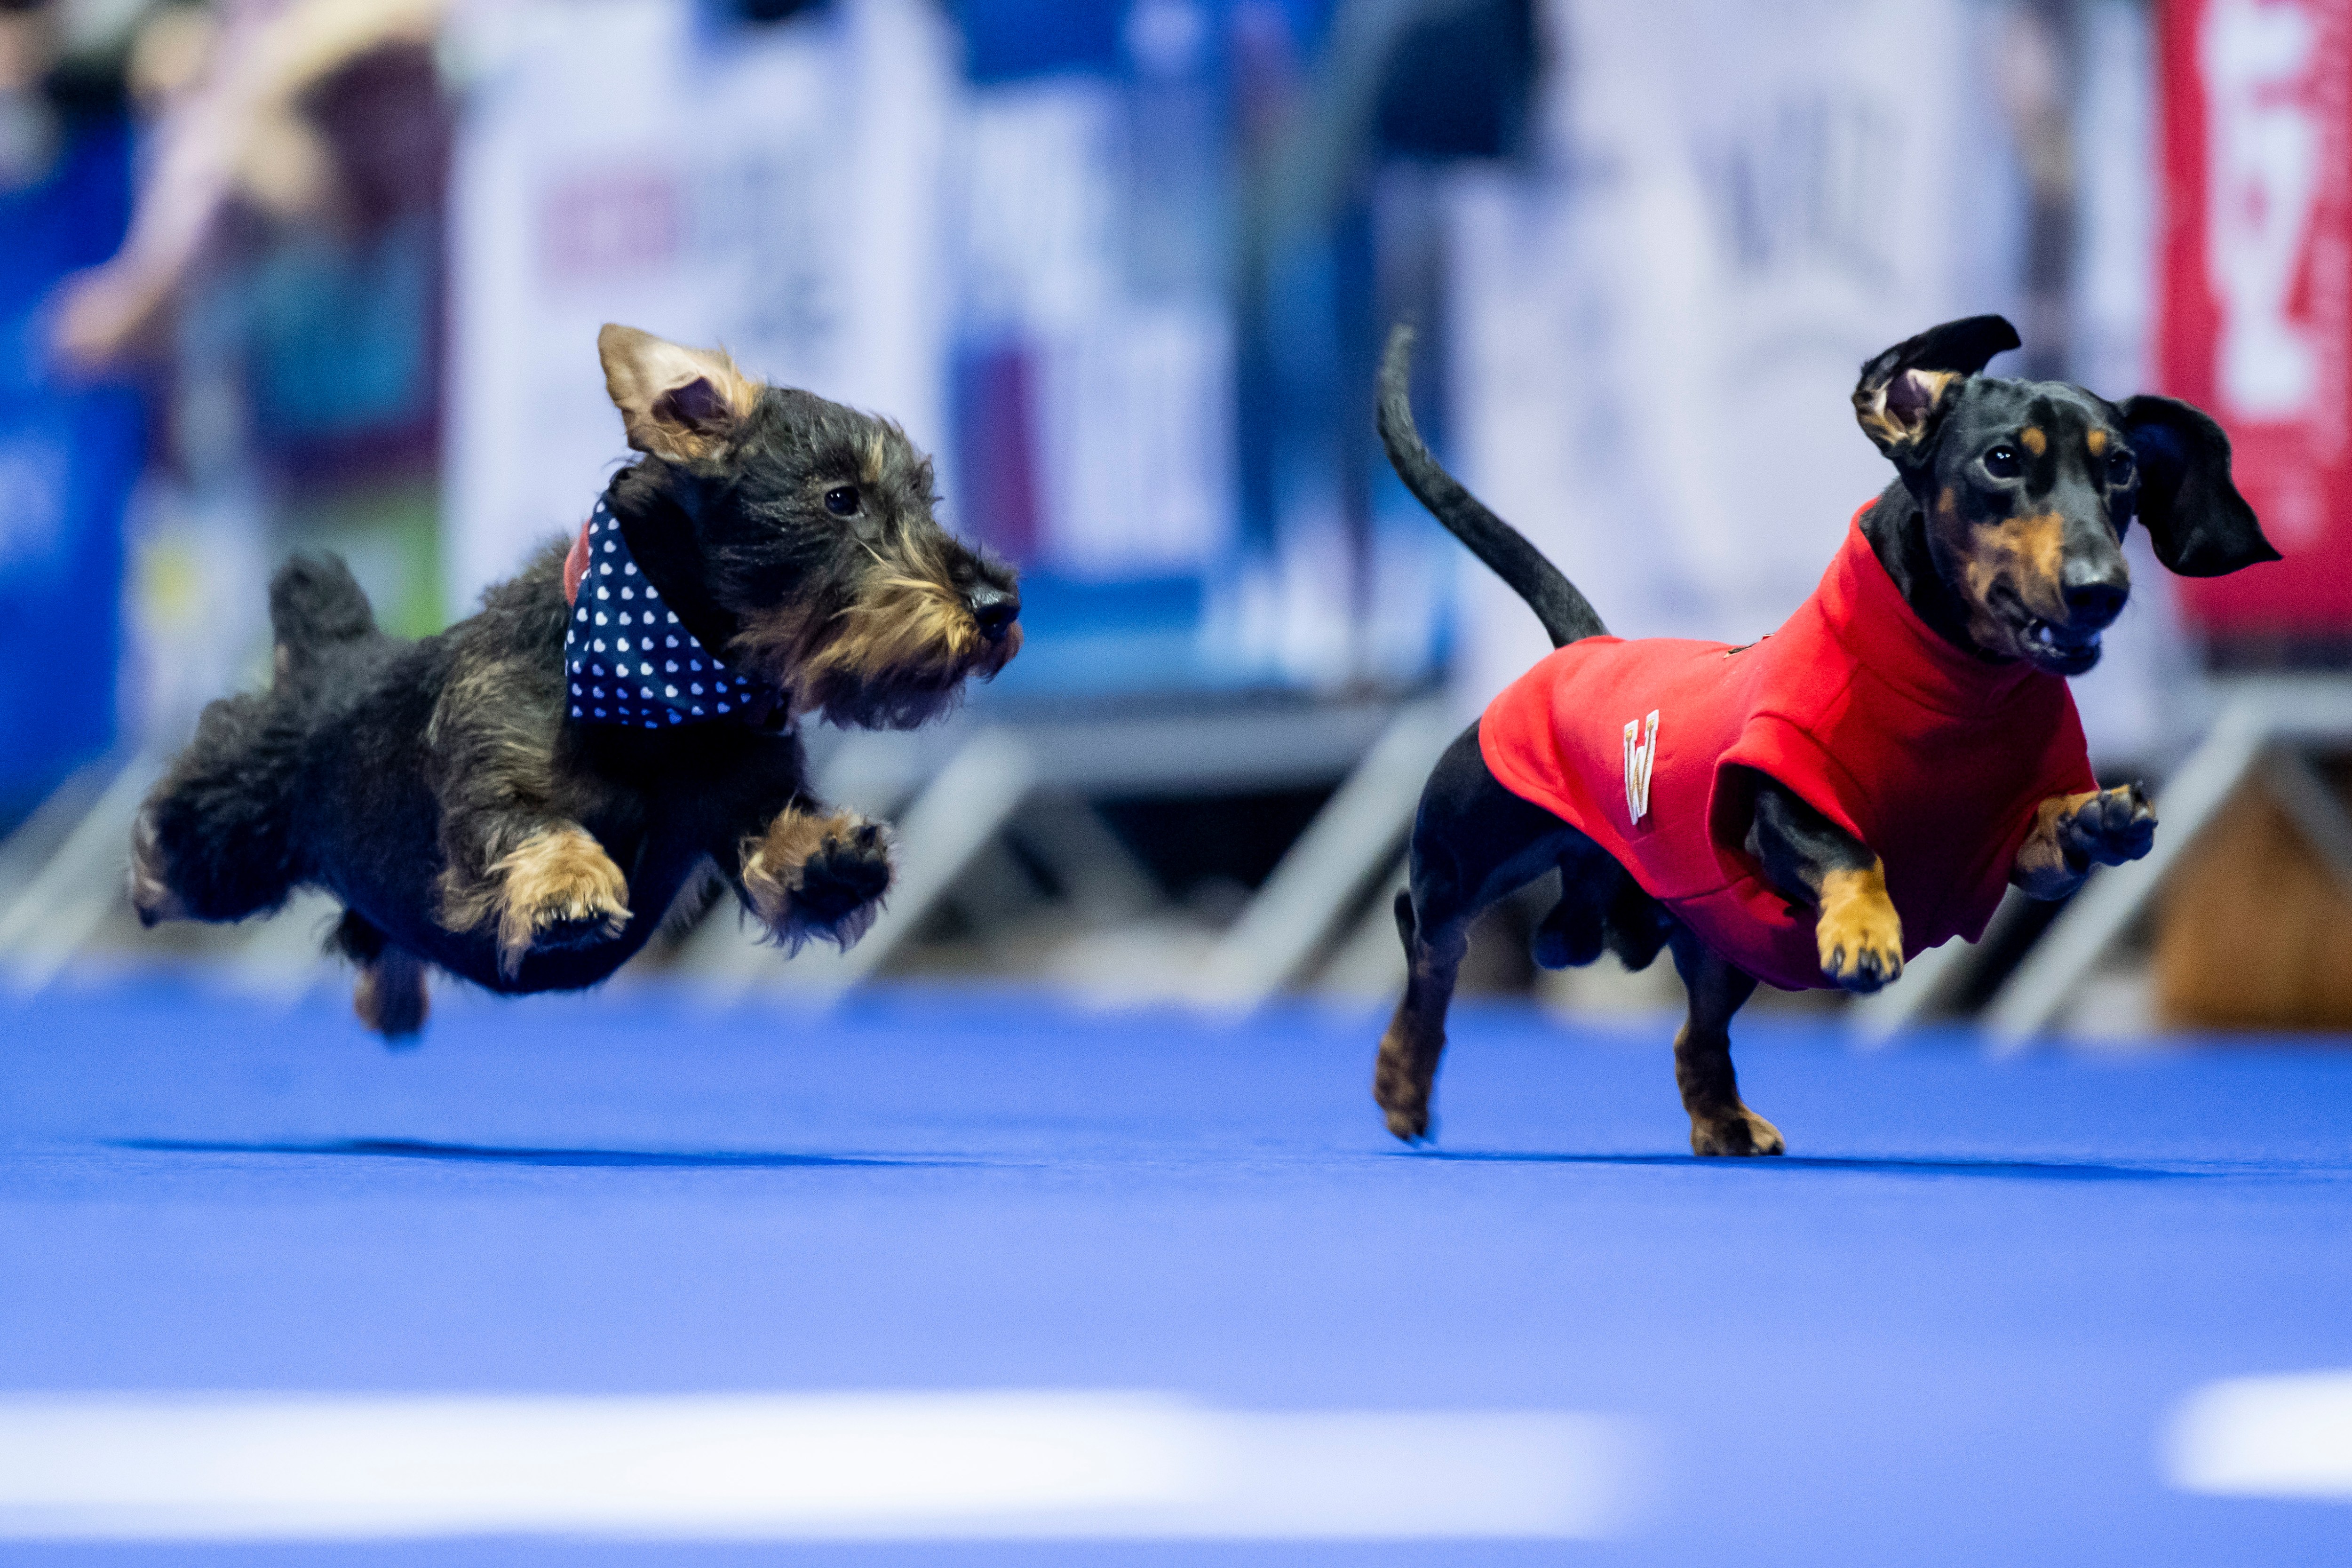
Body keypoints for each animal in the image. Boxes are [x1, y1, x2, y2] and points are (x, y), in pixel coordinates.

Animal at [135, 324, 1021, 1034]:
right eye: (840, 498)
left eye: (927, 497)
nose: (999, 606)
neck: (664, 687)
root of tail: (331, 651)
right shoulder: (491, 785)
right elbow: (529, 826)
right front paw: (566, 886)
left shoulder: (744, 799)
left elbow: (784, 844)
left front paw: (839, 858)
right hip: (229, 838)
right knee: (173, 833)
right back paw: (148, 879)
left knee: (369, 939)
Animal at [1374, 315, 2277, 1152]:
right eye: (2001, 461)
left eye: (2120, 467)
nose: (2102, 590)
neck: (1953, 693)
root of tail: (1586, 649)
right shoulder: (1779, 805)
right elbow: (1851, 850)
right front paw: (1864, 927)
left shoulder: (2008, 851)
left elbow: (2056, 836)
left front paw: (2101, 819)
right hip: (1467, 862)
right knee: (1427, 943)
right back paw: (1404, 1079)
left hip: (1709, 942)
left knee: (1690, 1032)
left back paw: (1724, 1120)